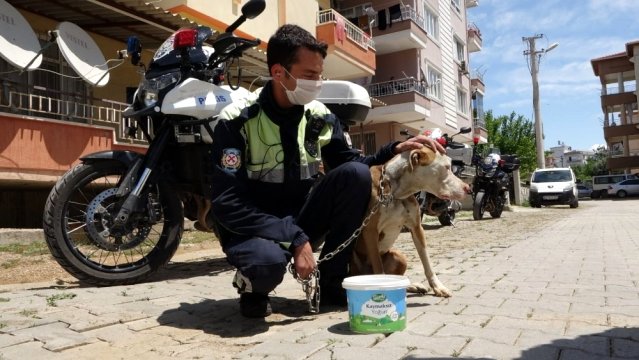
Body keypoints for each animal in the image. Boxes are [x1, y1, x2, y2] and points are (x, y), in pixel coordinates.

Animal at [350, 145, 470, 296]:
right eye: (447, 167)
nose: (468, 188)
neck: (395, 193)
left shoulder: (416, 227)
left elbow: (426, 261)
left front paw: (438, 286)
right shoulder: (370, 231)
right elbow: (379, 269)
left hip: (400, 257)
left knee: (398, 280)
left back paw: (414, 286)